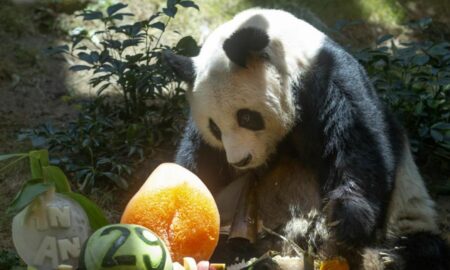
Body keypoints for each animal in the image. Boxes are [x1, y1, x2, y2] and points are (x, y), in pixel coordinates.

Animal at [163, 8, 448, 270]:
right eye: (215, 128)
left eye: (246, 117)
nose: (240, 160)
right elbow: (199, 162)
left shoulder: (329, 83)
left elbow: (359, 147)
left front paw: (344, 219)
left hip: (407, 213)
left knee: (421, 247)